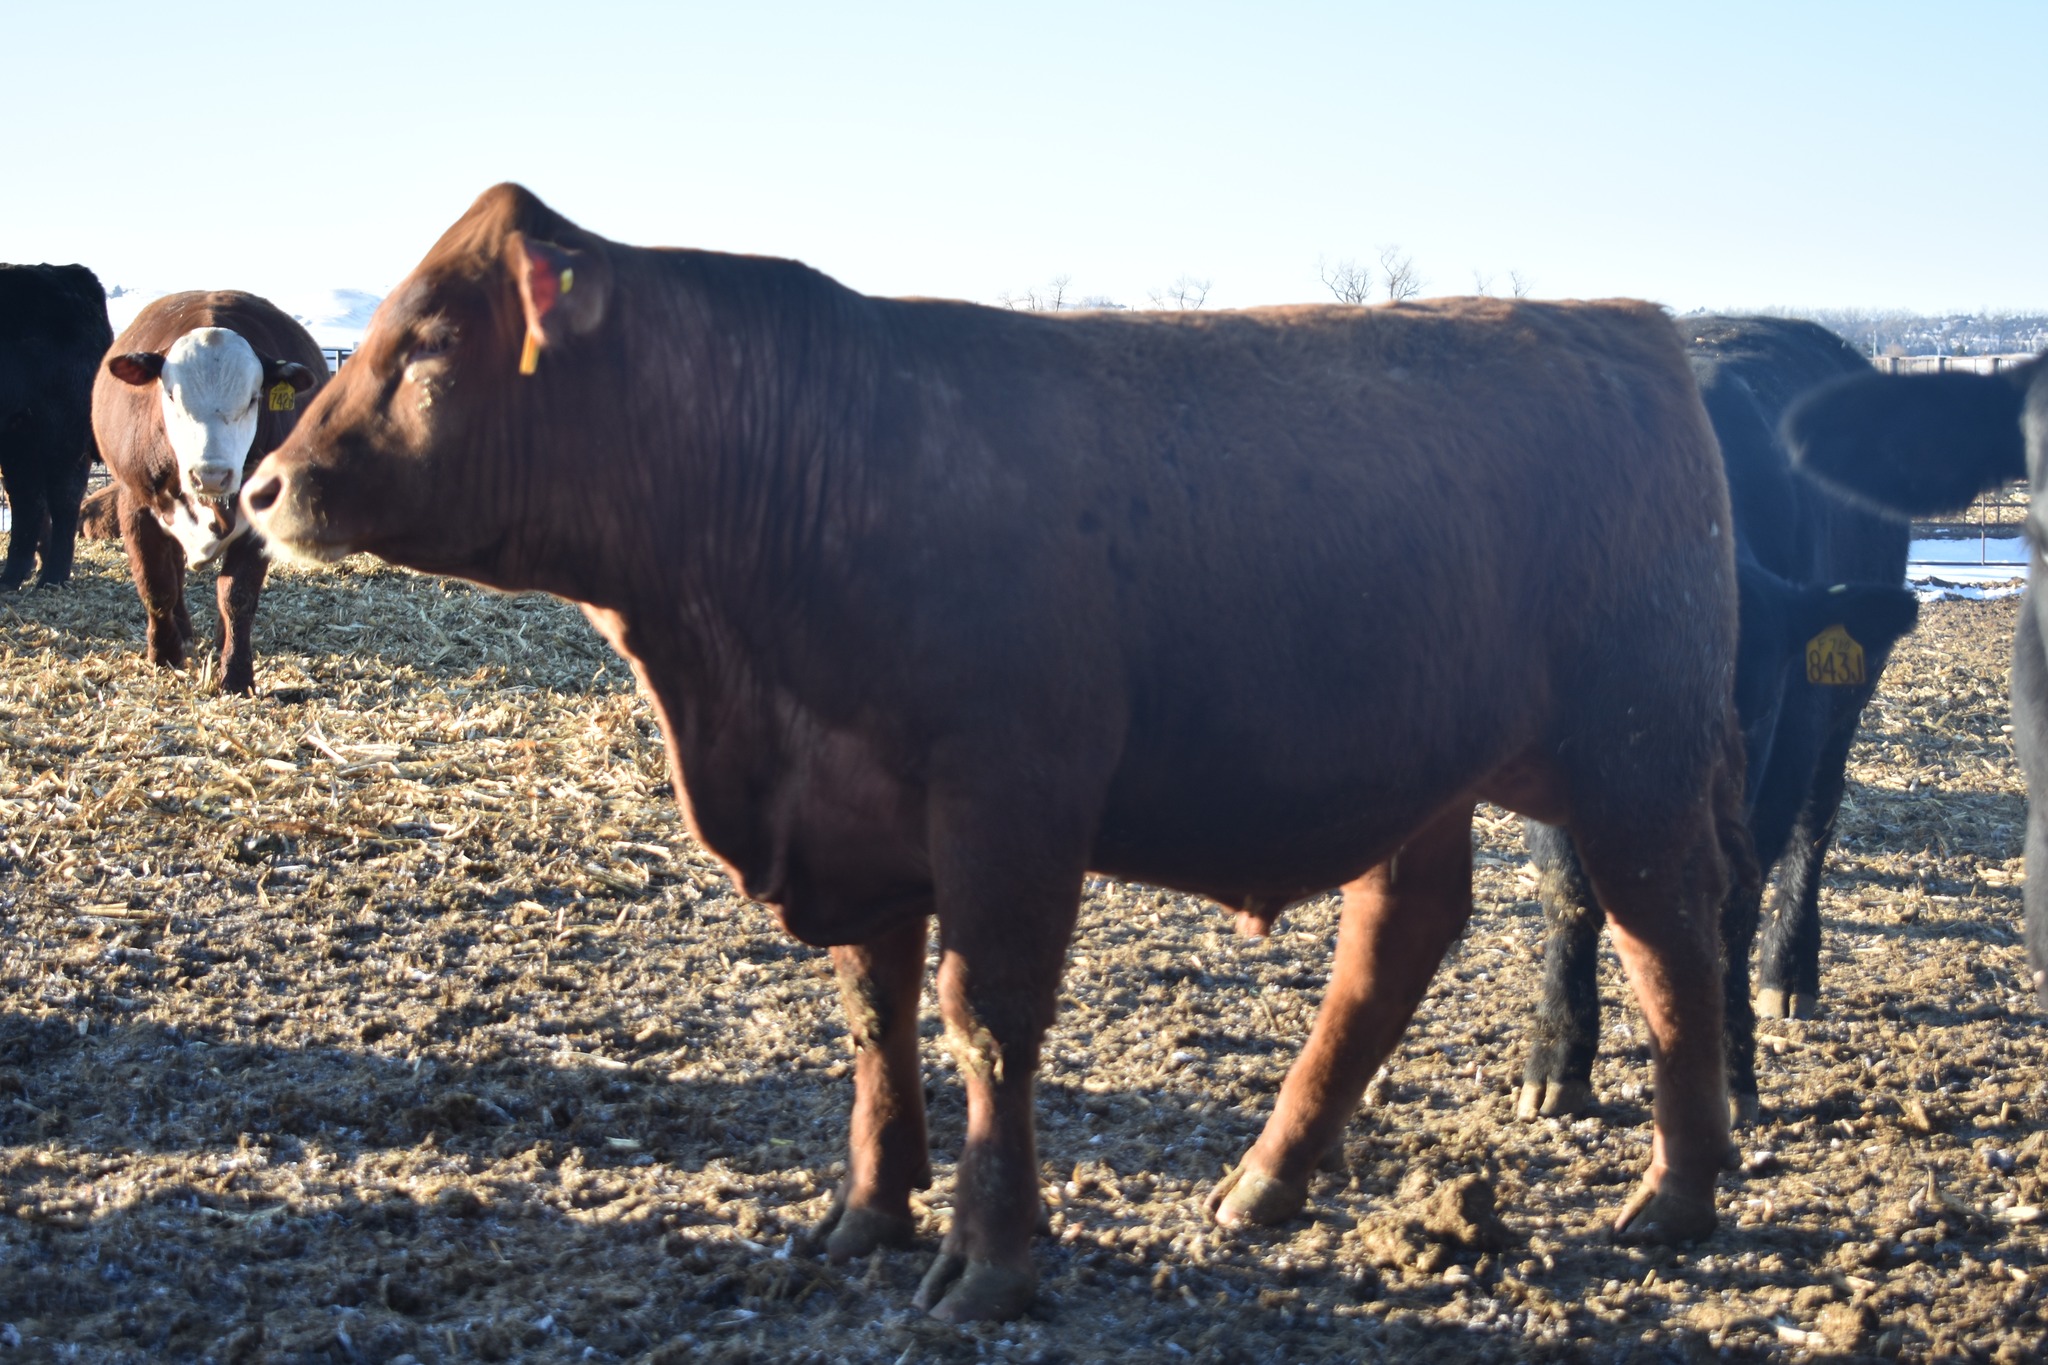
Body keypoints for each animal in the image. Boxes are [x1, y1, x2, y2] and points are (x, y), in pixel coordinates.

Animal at [0, 263, 112, 590]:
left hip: (60, 429)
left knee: (63, 497)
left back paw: (51, 577)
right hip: (20, 432)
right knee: (28, 498)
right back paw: (15, 575)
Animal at [94, 292, 324, 695]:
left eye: (253, 399)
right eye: (171, 395)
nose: (211, 475)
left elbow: (236, 596)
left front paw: (235, 673)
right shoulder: (135, 504)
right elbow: (157, 584)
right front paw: (165, 654)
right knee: (174, 571)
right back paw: (183, 633)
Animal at [243, 183, 1751, 1322]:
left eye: (432, 341)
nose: (260, 488)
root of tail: (1626, 328)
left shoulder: (1008, 802)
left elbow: (986, 1018)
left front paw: (991, 1259)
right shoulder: (859, 811)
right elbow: (875, 1017)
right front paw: (866, 1215)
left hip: (1635, 755)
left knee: (1668, 936)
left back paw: (1679, 1194)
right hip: (1417, 765)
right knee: (1399, 938)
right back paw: (1264, 1183)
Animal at [1519, 317, 1917, 1123]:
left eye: (1753, 709)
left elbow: (1734, 907)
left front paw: (1728, 1081)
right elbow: (1568, 893)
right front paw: (1556, 1062)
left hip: (1840, 714)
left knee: (1815, 829)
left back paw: (1788, 977)